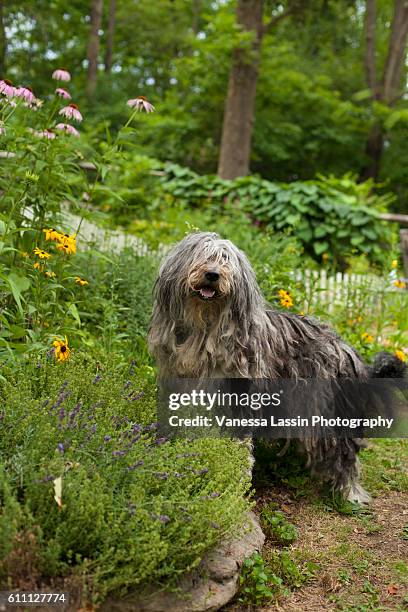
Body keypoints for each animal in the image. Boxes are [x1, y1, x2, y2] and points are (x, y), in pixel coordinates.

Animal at [148, 232, 404, 504]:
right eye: (203, 256)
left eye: (225, 261)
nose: (213, 274)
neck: (206, 329)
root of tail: (348, 350)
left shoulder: (238, 401)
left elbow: (238, 449)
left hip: (329, 413)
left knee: (344, 454)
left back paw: (351, 493)